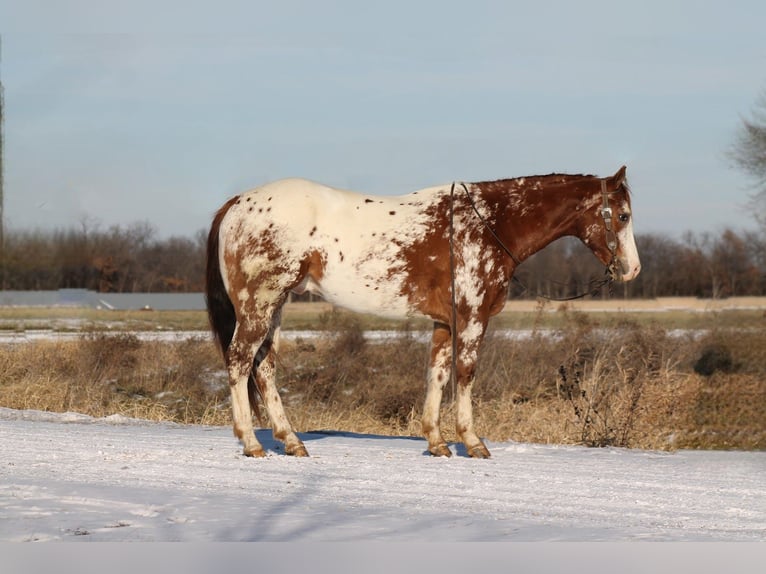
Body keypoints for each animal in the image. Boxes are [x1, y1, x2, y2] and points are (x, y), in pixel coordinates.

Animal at [205, 166, 641, 458]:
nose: (632, 269)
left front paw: (436, 441)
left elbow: (437, 374)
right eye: (622, 216)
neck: (488, 223)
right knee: (239, 361)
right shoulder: (472, 316)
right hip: (259, 304)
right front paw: (472, 441)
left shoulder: (445, 322)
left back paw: (290, 440)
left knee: (264, 367)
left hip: (274, 307)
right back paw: (250, 441)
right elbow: (465, 374)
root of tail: (237, 204)